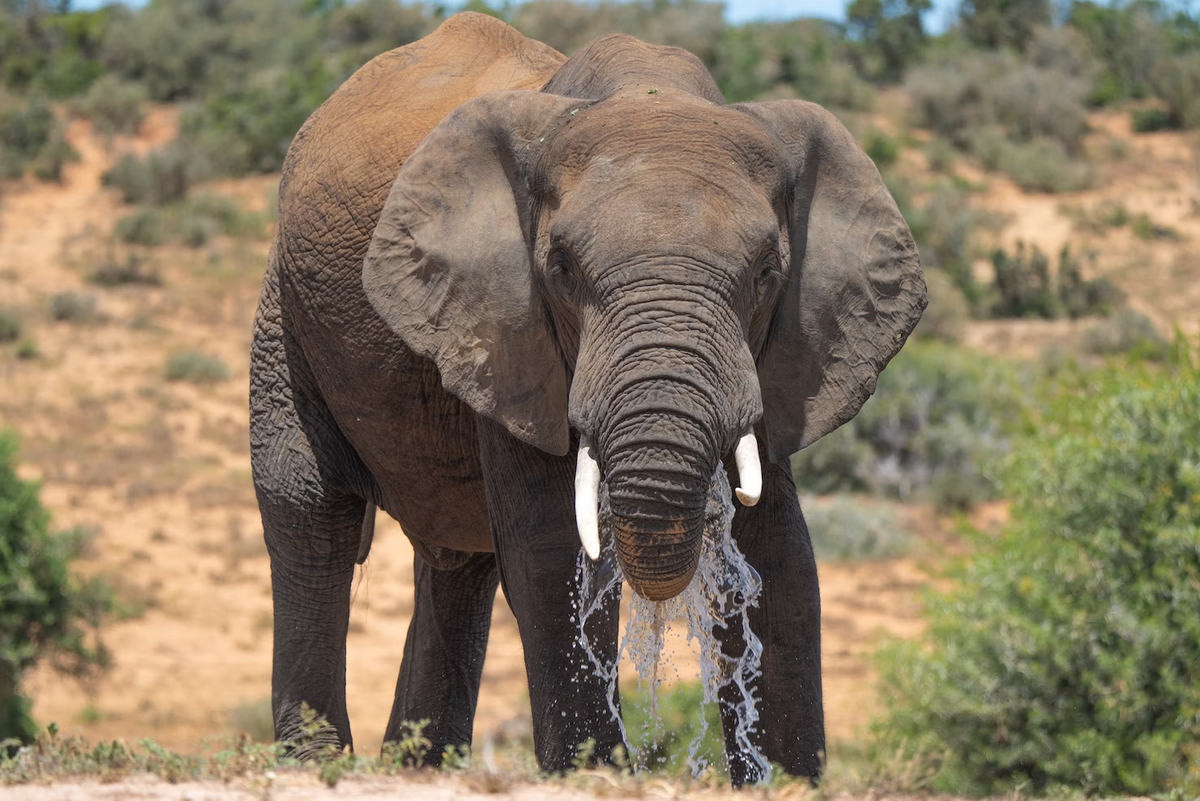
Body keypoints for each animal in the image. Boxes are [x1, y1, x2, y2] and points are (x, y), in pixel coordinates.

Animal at [248, 9, 926, 786]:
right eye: (562, 268)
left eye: (766, 272)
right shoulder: (506, 328)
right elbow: (551, 547)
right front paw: (592, 774)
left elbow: (782, 553)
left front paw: (784, 782)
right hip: (284, 311)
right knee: (309, 513)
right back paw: (315, 766)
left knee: (456, 563)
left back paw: (419, 768)